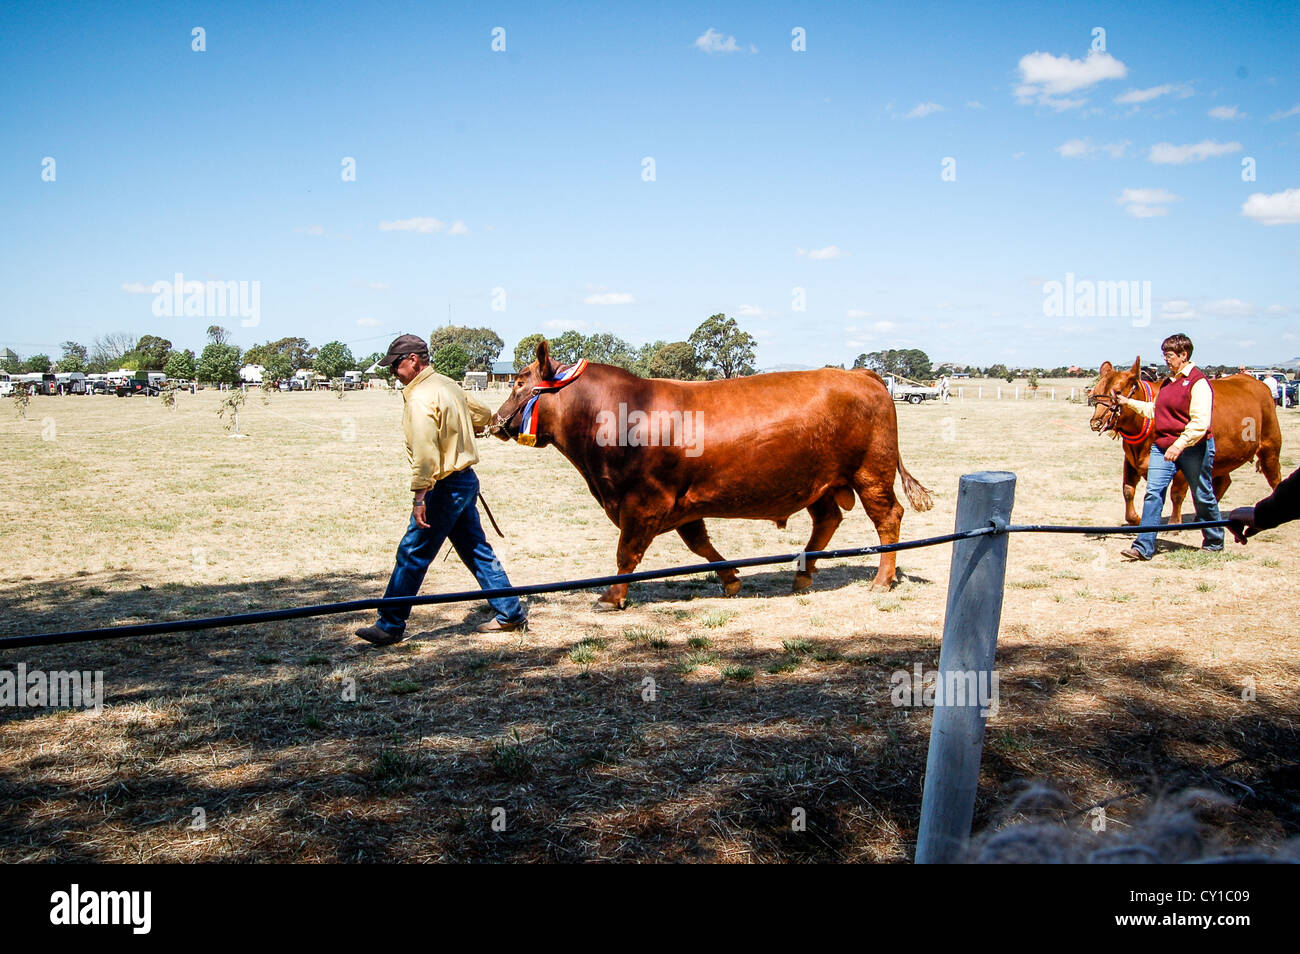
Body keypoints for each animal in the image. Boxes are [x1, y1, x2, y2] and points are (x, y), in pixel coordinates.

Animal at [491, 343, 930, 608]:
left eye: (519, 383)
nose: (495, 422)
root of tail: (861, 374)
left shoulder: (643, 502)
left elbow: (626, 552)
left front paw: (611, 596)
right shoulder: (682, 505)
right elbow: (700, 545)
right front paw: (731, 578)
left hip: (871, 472)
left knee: (887, 518)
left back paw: (881, 580)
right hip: (822, 482)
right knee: (827, 520)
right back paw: (803, 574)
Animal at [1081, 356, 1284, 522]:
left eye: (1116, 391)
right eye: (1096, 390)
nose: (1095, 422)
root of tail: (1257, 383)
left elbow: (1176, 494)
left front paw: (1173, 523)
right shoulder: (1131, 460)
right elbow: (1128, 490)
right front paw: (1136, 519)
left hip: (1270, 448)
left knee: (1275, 478)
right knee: (1223, 482)